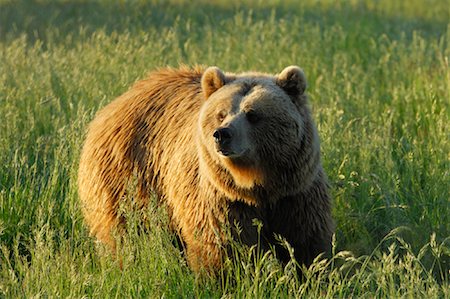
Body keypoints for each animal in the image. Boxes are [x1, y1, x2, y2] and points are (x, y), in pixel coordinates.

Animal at [77, 65, 334, 274]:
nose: (222, 134)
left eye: (253, 114)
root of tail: (119, 100)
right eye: (221, 113)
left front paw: (312, 273)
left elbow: (305, 241)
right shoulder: (219, 197)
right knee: (125, 232)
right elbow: (222, 245)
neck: (256, 185)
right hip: (128, 175)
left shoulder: (295, 192)